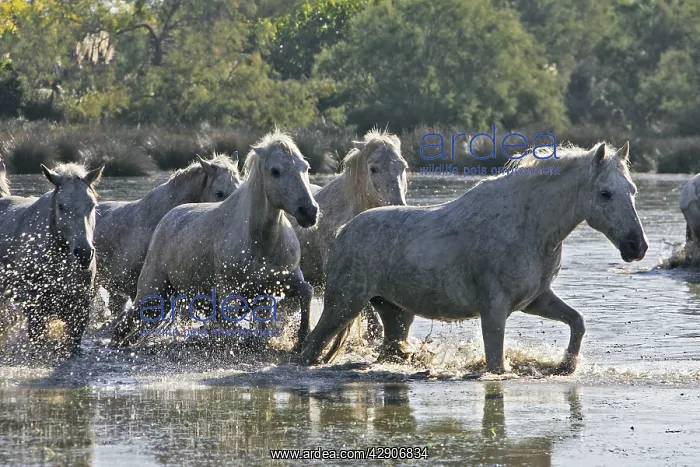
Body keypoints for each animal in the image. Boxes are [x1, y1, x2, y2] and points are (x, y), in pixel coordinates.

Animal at [111, 130, 319, 347]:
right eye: (275, 171)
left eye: (305, 167)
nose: (309, 212)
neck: (260, 242)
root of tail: (168, 217)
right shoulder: (230, 292)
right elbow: (231, 327)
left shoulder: (284, 279)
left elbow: (307, 291)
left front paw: (302, 336)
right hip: (152, 291)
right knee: (126, 322)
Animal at [300, 142, 648, 375]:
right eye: (605, 193)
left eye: (632, 190)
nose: (637, 247)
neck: (530, 227)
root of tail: (344, 231)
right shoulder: (494, 310)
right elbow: (496, 364)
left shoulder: (536, 299)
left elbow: (577, 321)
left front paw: (566, 364)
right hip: (343, 305)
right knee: (310, 346)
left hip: (394, 314)